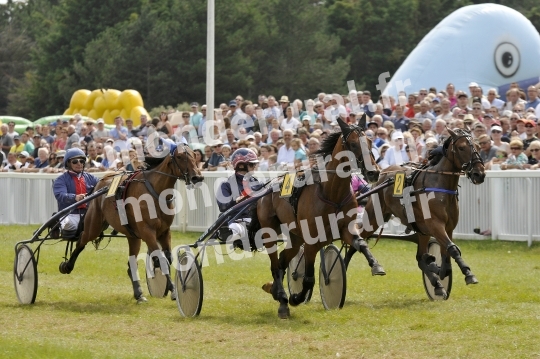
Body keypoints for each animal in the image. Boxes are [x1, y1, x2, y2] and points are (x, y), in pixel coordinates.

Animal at [58, 143, 204, 304]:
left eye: (194, 155)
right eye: (179, 156)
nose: (197, 176)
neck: (155, 193)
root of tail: (101, 182)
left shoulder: (165, 232)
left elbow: (167, 258)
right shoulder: (148, 232)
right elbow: (160, 260)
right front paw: (173, 290)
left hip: (133, 236)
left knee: (131, 264)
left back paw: (139, 293)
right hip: (94, 226)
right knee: (81, 241)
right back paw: (67, 266)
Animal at [252, 116, 384, 320]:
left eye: (370, 142)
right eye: (353, 144)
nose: (373, 172)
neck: (333, 192)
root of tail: (268, 187)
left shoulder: (345, 229)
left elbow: (361, 244)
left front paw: (376, 266)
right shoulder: (312, 241)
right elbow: (308, 278)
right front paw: (296, 297)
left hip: (296, 236)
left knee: (282, 260)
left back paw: (275, 291)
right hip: (270, 230)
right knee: (275, 264)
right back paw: (282, 300)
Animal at [344, 128, 488, 300]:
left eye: (478, 146)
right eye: (461, 147)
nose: (479, 174)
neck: (439, 185)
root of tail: (383, 173)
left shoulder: (448, 228)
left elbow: (445, 255)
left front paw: (436, 269)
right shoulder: (435, 225)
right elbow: (452, 249)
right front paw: (468, 274)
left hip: (421, 230)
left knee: (419, 257)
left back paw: (436, 283)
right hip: (374, 218)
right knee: (355, 240)